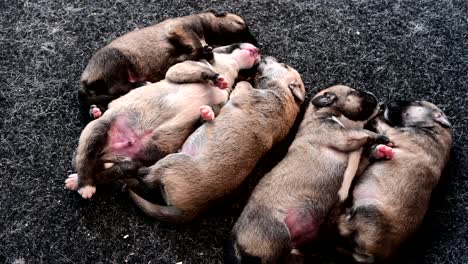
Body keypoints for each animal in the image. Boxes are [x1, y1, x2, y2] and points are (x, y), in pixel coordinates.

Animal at [64, 43, 260, 199]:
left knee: (105, 174)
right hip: (99, 129)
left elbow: (214, 109)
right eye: (235, 44)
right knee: (86, 157)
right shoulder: (179, 70)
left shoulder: (223, 101)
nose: (257, 50)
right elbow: (199, 71)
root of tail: (107, 152)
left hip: (129, 164)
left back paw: (79, 181)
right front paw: (213, 75)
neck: (228, 67)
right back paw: (84, 185)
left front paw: (207, 113)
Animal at [79, 10, 256, 118]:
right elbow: (195, 42)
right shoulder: (182, 28)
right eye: (243, 26)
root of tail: (84, 81)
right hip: (116, 60)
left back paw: (97, 111)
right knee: (117, 86)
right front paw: (202, 50)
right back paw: (141, 83)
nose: (256, 44)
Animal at [128, 55, 306, 223]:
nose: (266, 56)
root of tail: (187, 211)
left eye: (284, 65)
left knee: (147, 178)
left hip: (172, 162)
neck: (285, 96)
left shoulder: (247, 92)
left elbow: (241, 84)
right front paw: (208, 112)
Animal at [228, 85, 392, 262]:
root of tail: (236, 241)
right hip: (277, 234)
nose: (375, 97)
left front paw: (378, 152)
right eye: (355, 93)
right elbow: (363, 133)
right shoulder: (341, 136)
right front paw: (380, 137)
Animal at [338, 100, 452, 262]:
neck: (435, 127)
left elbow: (384, 126)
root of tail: (372, 256)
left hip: (368, 209)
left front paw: (377, 116)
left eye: (417, 103)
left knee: (343, 225)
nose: (386, 104)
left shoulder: (397, 134)